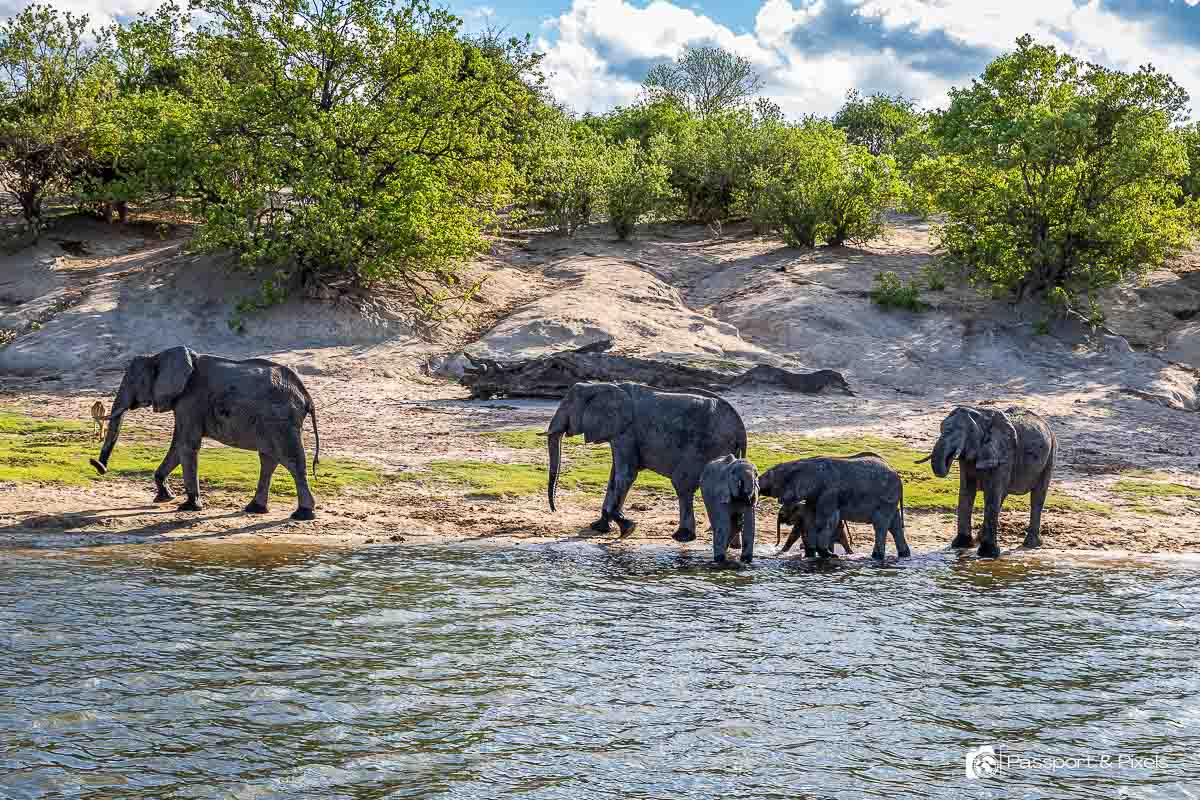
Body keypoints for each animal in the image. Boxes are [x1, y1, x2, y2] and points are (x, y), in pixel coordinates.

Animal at [90, 346, 321, 519]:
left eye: (132, 381)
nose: (97, 465)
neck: (160, 356)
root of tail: (305, 395)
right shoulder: (184, 403)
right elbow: (178, 446)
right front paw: (165, 498)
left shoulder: (191, 400)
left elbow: (186, 445)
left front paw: (189, 507)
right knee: (269, 460)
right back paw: (255, 509)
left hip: (281, 421)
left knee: (291, 461)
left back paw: (303, 514)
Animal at [545, 382, 747, 540]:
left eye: (567, 408)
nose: (555, 510)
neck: (600, 386)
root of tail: (741, 429)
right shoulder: (619, 433)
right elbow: (614, 476)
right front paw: (600, 527)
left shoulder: (626, 432)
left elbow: (625, 475)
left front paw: (627, 528)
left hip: (705, 447)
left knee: (682, 484)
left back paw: (683, 536)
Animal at [758, 452, 909, 560]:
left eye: (771, 475)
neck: (803, 463)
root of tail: (897, 475)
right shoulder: (814, 496)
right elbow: (811, 519)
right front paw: (814, 554)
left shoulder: (829, 492)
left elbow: (827, 519)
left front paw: (829, 555)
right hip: (890, 499)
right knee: (894, 525)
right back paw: (904, 555)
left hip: (886, 497)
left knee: (881, 524)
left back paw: (877, 557)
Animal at [917, 405, 1055, 558]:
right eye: (941, 428)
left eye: (965, 431)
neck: (981, 415)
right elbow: (966, 490)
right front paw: (961, 545)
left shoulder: (1004, 453)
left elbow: (992, 492)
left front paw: (988, 554)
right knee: (1003, 496)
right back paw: (979, 538)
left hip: (1050, 456)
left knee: (1037, 495)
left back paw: (1031, 544)